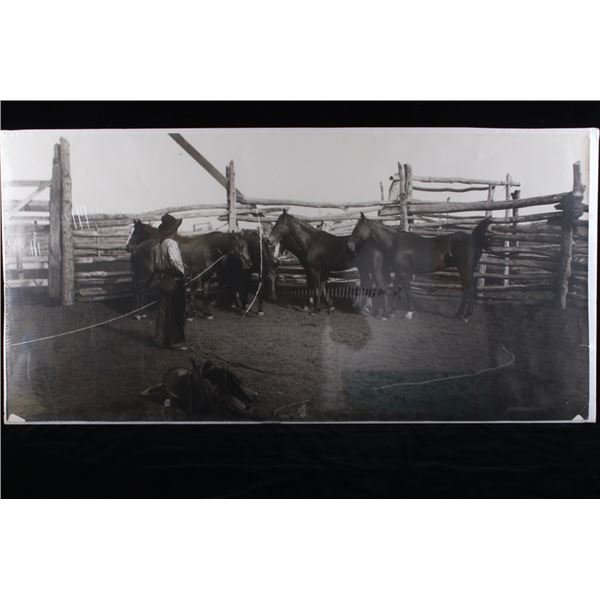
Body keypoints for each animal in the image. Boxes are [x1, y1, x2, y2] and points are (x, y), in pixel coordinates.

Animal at [346, 213, 492, 322]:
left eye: (357, 227)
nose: (349, 244)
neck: (396, 242)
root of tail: (472, 239)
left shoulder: (404, 272)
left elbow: (407, 290)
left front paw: (409, 313)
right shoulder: (399, 272)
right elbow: (396, 288)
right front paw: (391, 311)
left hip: (465, 269)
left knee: (470, 289)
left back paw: (466, 316)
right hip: (463, 270)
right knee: (466, 289)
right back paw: (458, 314)